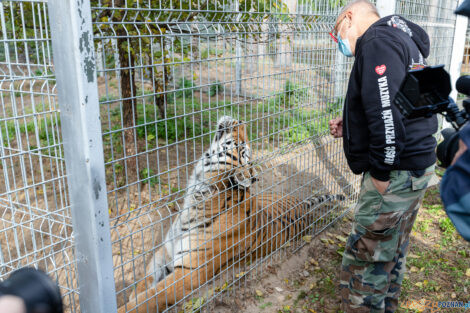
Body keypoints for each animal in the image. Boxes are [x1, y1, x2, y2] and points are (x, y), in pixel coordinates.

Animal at [118, 115, 346, 312]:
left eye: (242, 148)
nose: (241, 121)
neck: (196, 195)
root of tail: (300, 204)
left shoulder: (189, 273)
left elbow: (151, 298)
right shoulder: (164, 252)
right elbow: (144, 281)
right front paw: (134, 294)